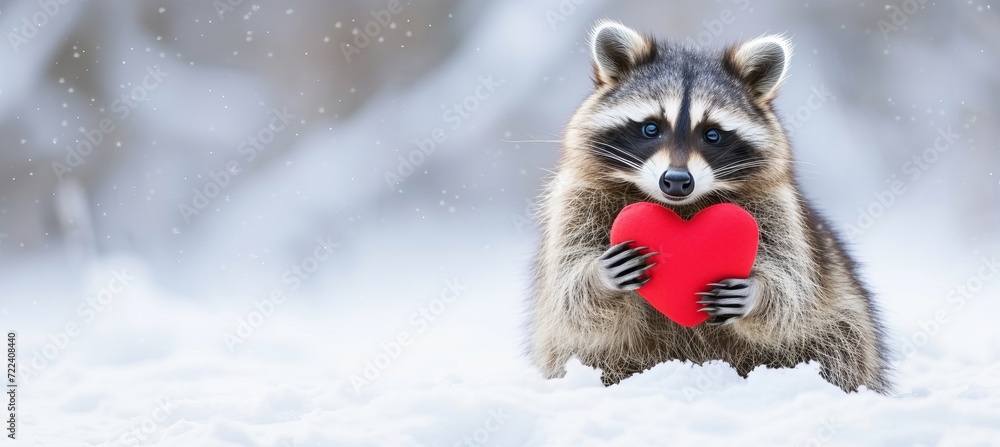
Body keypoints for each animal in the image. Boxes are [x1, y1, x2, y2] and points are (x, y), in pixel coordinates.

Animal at [527, 21, 892, 393]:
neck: (680, 205)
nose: (676, 180)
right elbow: (571, 297)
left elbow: (792, 292)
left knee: (837, 343)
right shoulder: (577, 200)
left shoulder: (775, 210)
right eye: (651, 128)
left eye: (712, 135)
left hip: (845, 316)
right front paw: (600, 278)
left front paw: (758, 296)